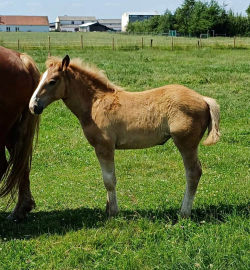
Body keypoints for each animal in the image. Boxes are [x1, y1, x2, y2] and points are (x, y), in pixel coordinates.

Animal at [29, 56, 221, 218]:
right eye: (40, 79)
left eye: (52, 81)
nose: (33, 106)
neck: (95, 103)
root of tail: (204, 98)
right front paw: (108, 208)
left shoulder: (104, 147)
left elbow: (109, 180)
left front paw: (113, 212)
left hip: (186, 143)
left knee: (193, 173)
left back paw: (184, 212)